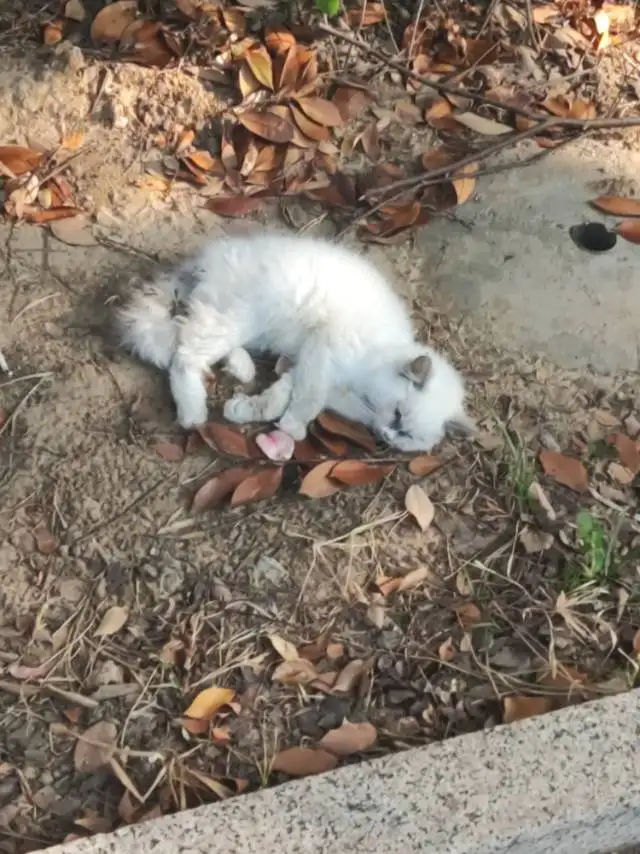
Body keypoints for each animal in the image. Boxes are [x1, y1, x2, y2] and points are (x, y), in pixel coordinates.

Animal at [116, 231, 476, 452]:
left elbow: (280, 397)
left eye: (409, 436)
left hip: (239, 324)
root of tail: (205, 259)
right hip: (241, 318)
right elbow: (307, 402)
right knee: (184, 355)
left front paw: (245, 410)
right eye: (399, 415)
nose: (388, 434)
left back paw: (241, 368)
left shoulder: (306, 366)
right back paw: (193, 413)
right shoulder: (323, 353)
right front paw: (292, 428)